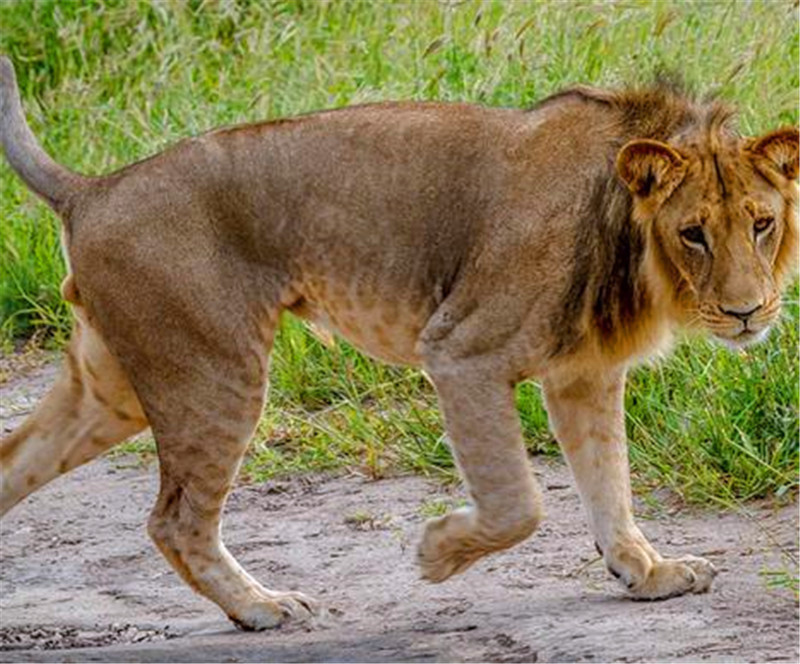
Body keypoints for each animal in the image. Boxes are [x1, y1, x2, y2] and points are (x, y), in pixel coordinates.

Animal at [0, 55, 796, 628]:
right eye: (692, 233)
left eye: (761, 223)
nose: (747, 312)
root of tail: (91, 189)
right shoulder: (463, 351)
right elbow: (520, 502)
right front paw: (438, 555)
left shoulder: (585, 376)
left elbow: (611, 485)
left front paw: (647, 572)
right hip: (212, 371)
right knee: (174, 520)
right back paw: (262, 608)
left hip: (115, 388)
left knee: (17, 462)